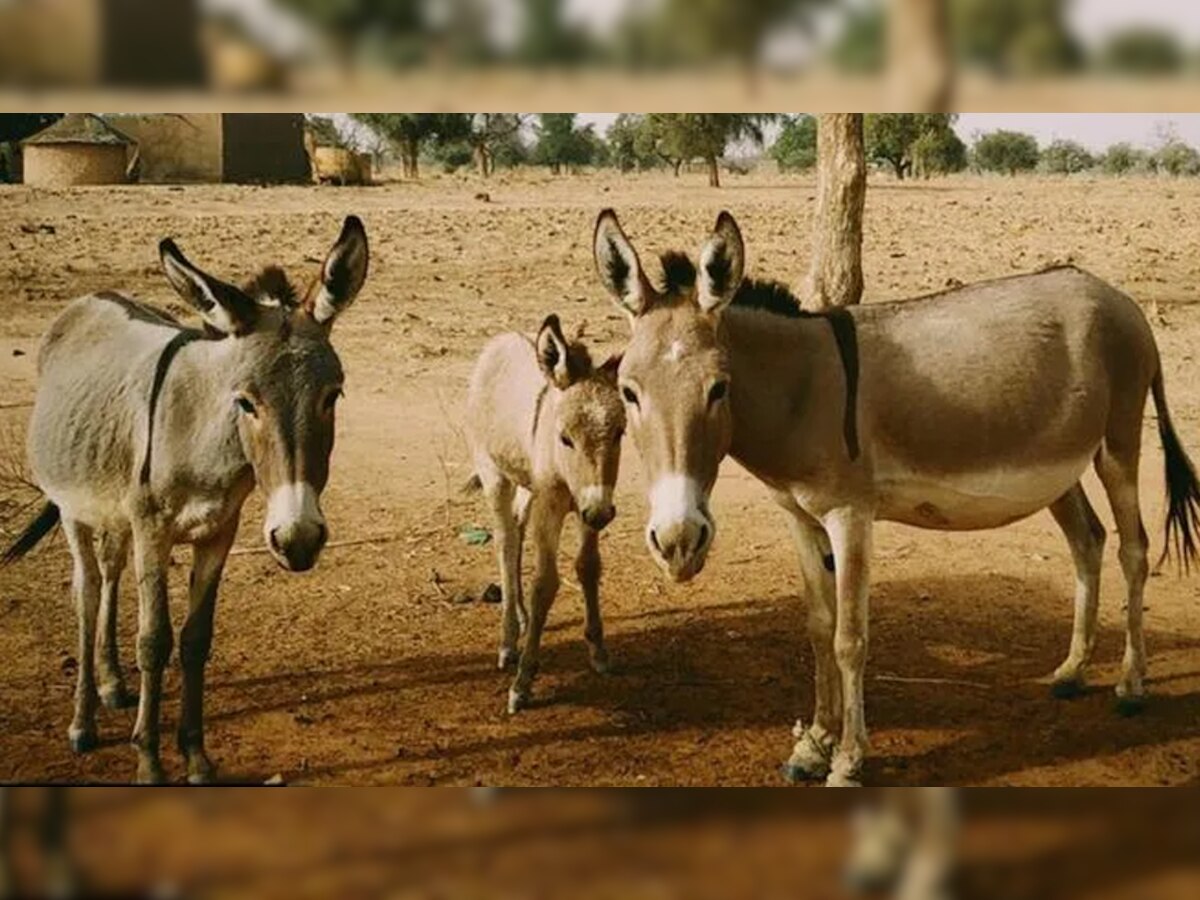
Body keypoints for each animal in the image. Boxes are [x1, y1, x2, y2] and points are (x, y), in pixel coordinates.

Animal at [463, 314, 624, 715]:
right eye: (565, 438)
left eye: (619, 432)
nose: (601, 513)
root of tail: (500, 340)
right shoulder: (552, 505)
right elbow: (545, 583)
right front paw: (523, 682)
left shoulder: (588, 502)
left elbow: (588, 567)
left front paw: (598, 651)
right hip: (494, 475)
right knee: (505, 543)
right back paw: (508, 643)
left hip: (527, 485)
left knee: (517, 530)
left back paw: (520, 616)